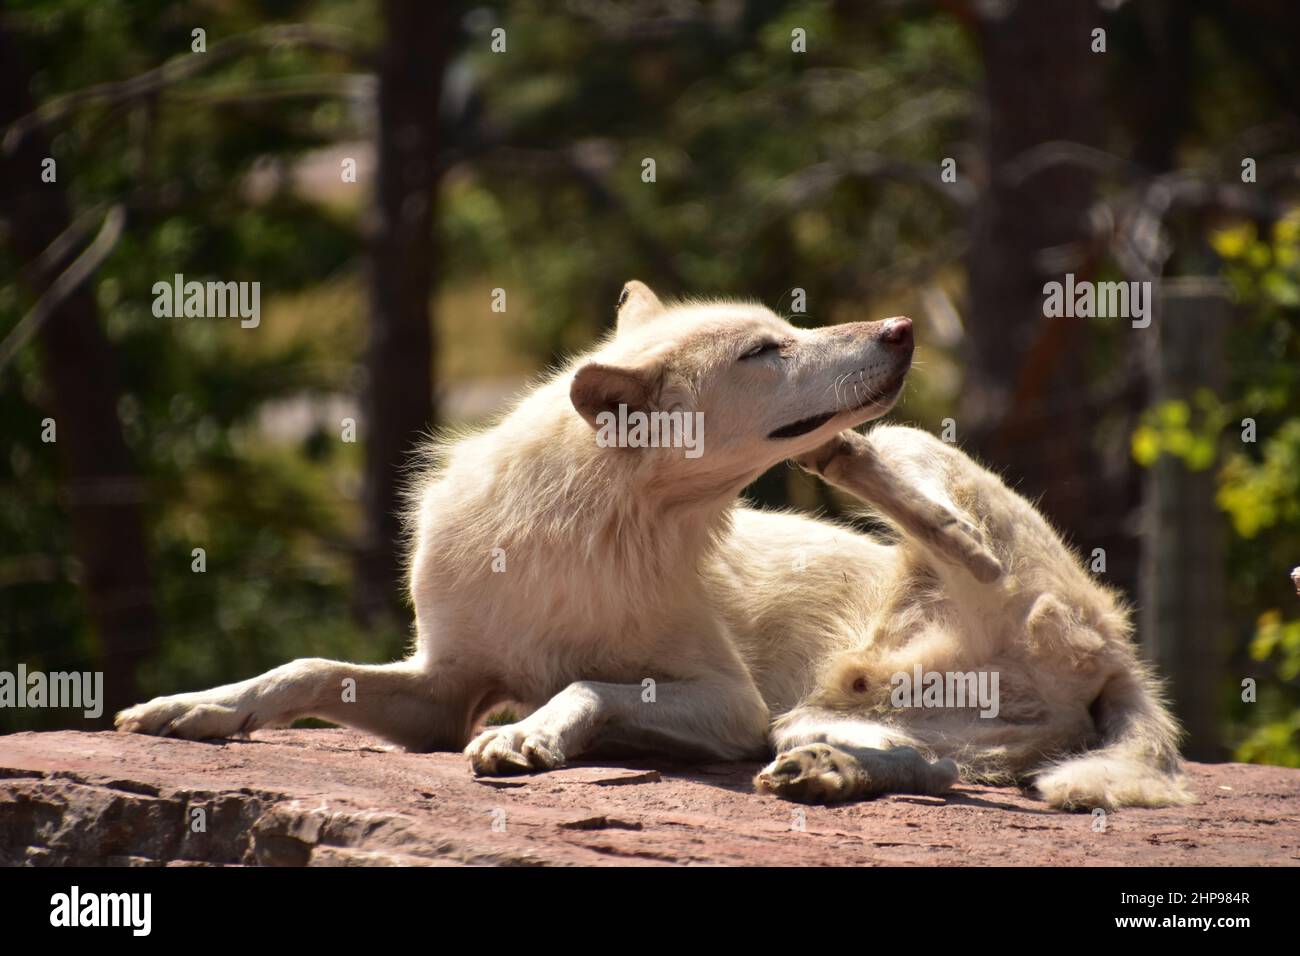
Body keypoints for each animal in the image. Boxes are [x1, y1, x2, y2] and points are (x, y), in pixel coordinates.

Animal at [116, 280, 1190, 811]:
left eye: (786, 324)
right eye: (764, 350)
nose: (901, 326)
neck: (580, 535)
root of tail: (1130, 663)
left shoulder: (728, 704)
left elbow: (586, 685)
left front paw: (529, 737)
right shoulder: (440, 687)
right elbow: (302, 668)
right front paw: (190, 708)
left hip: (921, 482)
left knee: (977, 550)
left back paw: (856, 469)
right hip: (825, 715)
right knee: (931, 770)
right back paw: (828, 774)